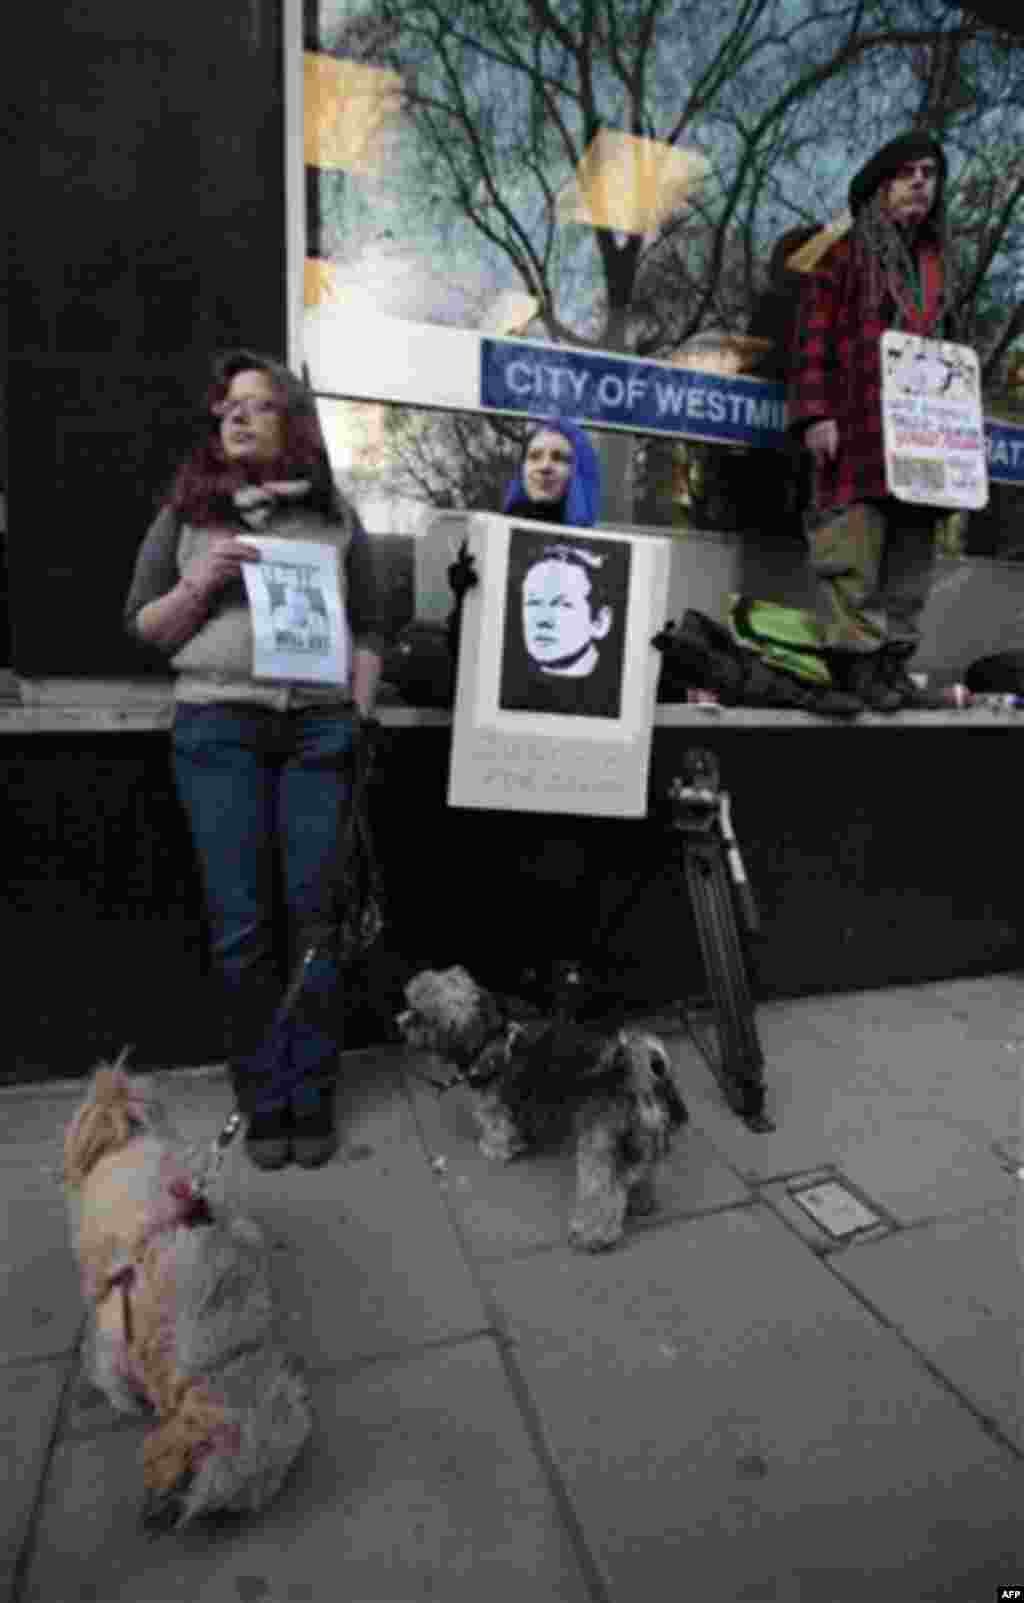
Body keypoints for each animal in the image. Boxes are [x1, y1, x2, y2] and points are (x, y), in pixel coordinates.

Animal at [400, 961, 689, 1250]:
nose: (399, 1021)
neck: (491, 1040)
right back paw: (641, 1204)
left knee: (603, 1193)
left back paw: (592, 1234)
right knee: (639, 1176)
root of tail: (634, 1076)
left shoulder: (495, 1109)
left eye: (420, 1014)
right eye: (411, 1004)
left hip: (599, 1149)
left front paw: (494, 1149)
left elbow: (498, 1131)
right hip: (638, 1144)